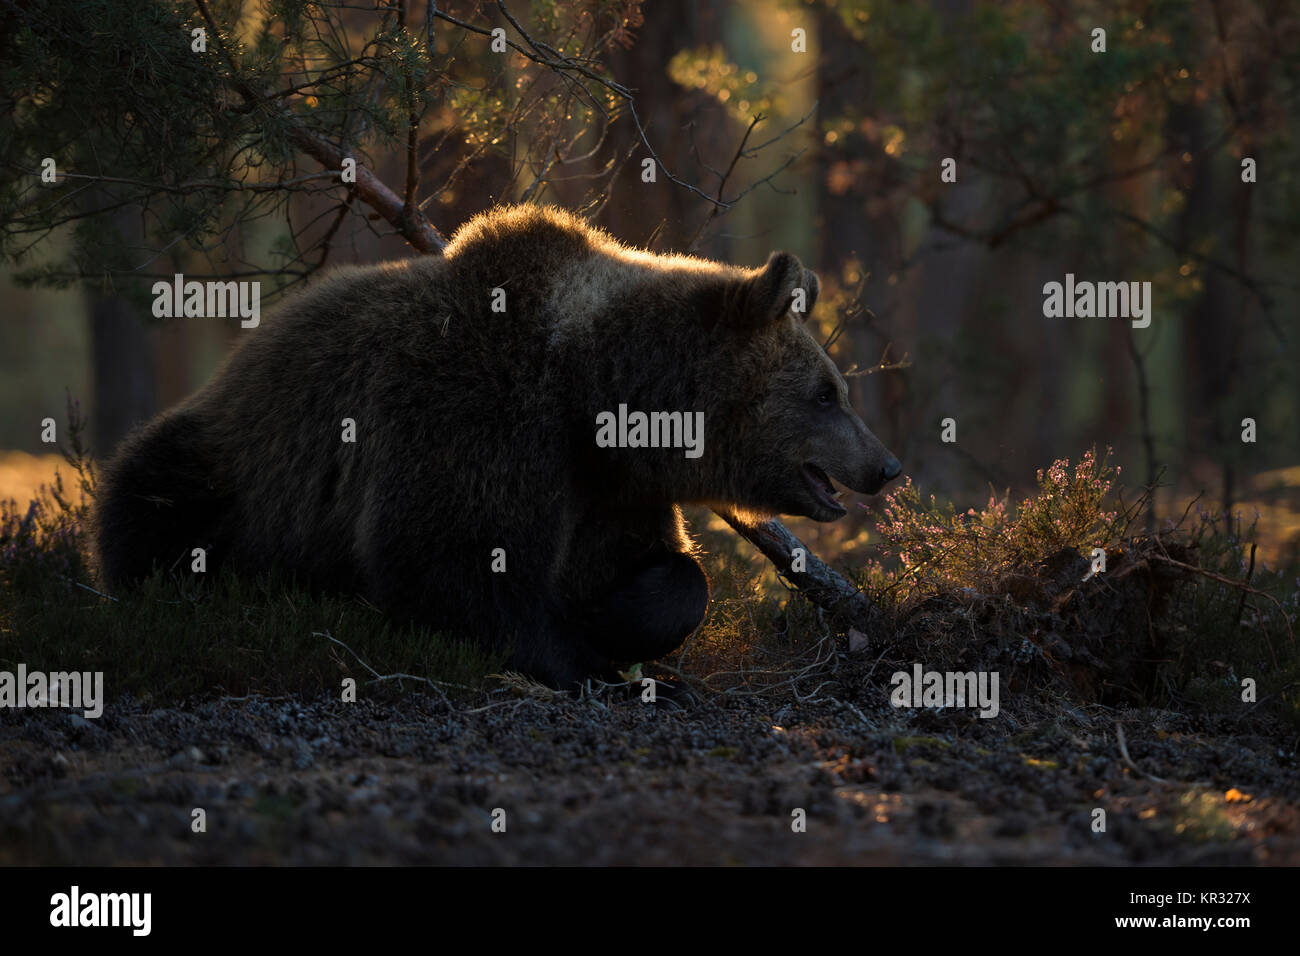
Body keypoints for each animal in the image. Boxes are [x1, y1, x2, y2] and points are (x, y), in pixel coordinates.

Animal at [94, 205, 904, 691]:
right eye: (827, 392)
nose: (886, 464)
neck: (595, 394)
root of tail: (245, 351)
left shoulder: (609, 487)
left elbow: (665, 572)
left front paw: (616, 624)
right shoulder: (481, 418)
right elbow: (451, 561)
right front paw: (586, 662)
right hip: (232, 462)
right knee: (156, 501)